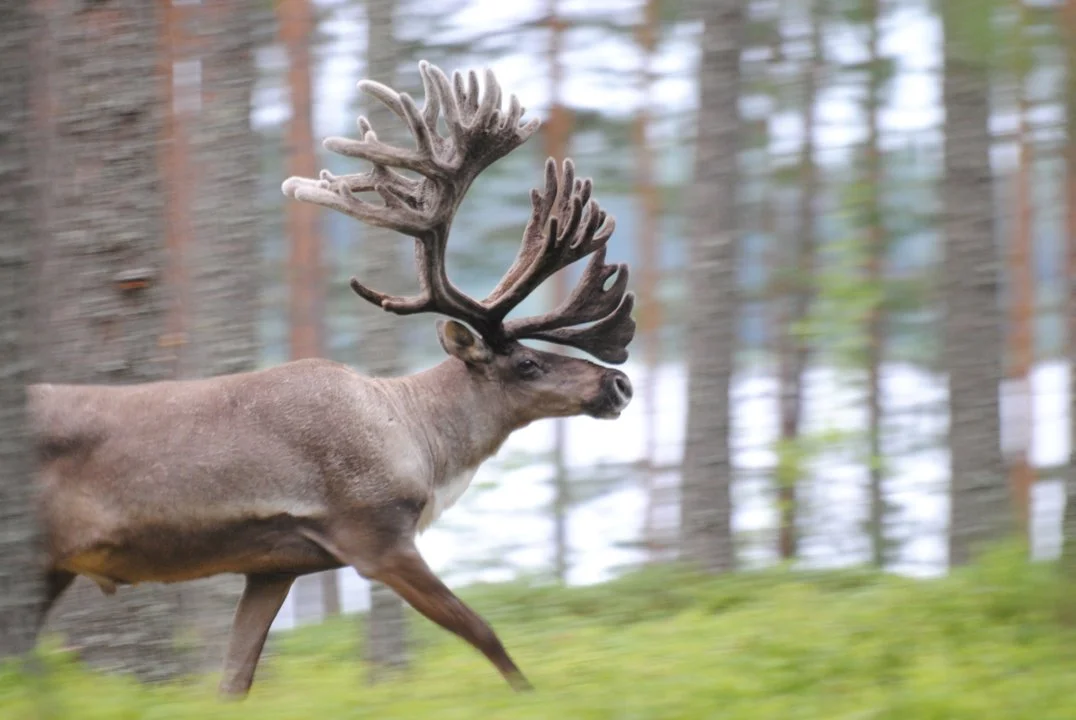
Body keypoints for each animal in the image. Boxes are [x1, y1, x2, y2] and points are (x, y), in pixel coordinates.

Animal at [28, 60, 635, 698]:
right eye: (527, 364)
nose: (618, 385)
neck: (420, 442)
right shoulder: (376, 536)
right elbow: (482, 631)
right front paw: (530, 696)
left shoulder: (277, 564)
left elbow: (236, 675)